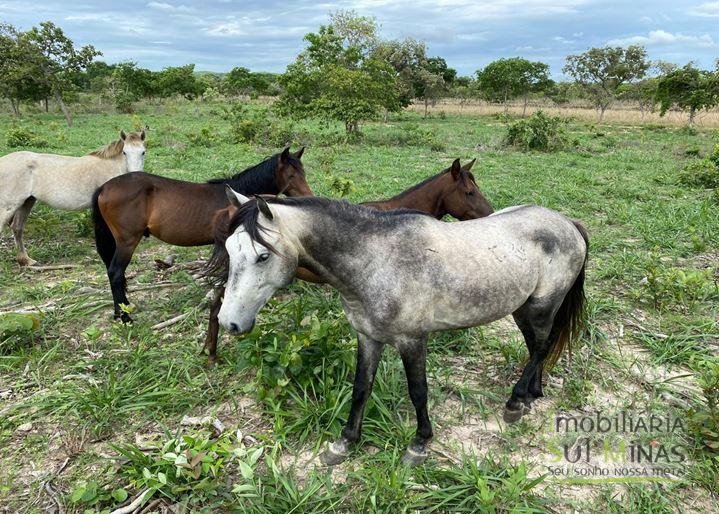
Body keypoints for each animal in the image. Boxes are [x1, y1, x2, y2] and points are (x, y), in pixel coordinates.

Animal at [0, 130, 148, 264]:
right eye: (125, 152)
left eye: (143, 152)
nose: (135, 176)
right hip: (9, 206)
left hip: (27, 202)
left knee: (17, 228)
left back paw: (26, 260)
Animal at [93, 146, 312, 320]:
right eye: (291, 176)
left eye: (303, 172)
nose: (308, 196)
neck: (238, 198)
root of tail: (104, 187)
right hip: (127, 242)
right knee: (116, 273)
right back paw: (125, 317)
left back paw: (120, 311)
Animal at [211, 188, 588, 464]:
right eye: (229, 248)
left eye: (263, 256)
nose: (229, 322)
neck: (377, 261)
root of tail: (568, 223)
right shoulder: (368, 337)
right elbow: (361, 387)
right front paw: (344, 442)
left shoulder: (412, 340)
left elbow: (418, 391)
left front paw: (419, 444)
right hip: (522, 309)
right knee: (535, 348)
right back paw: (530, 396)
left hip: (541, 307)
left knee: (540, 347)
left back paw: (514, 403)